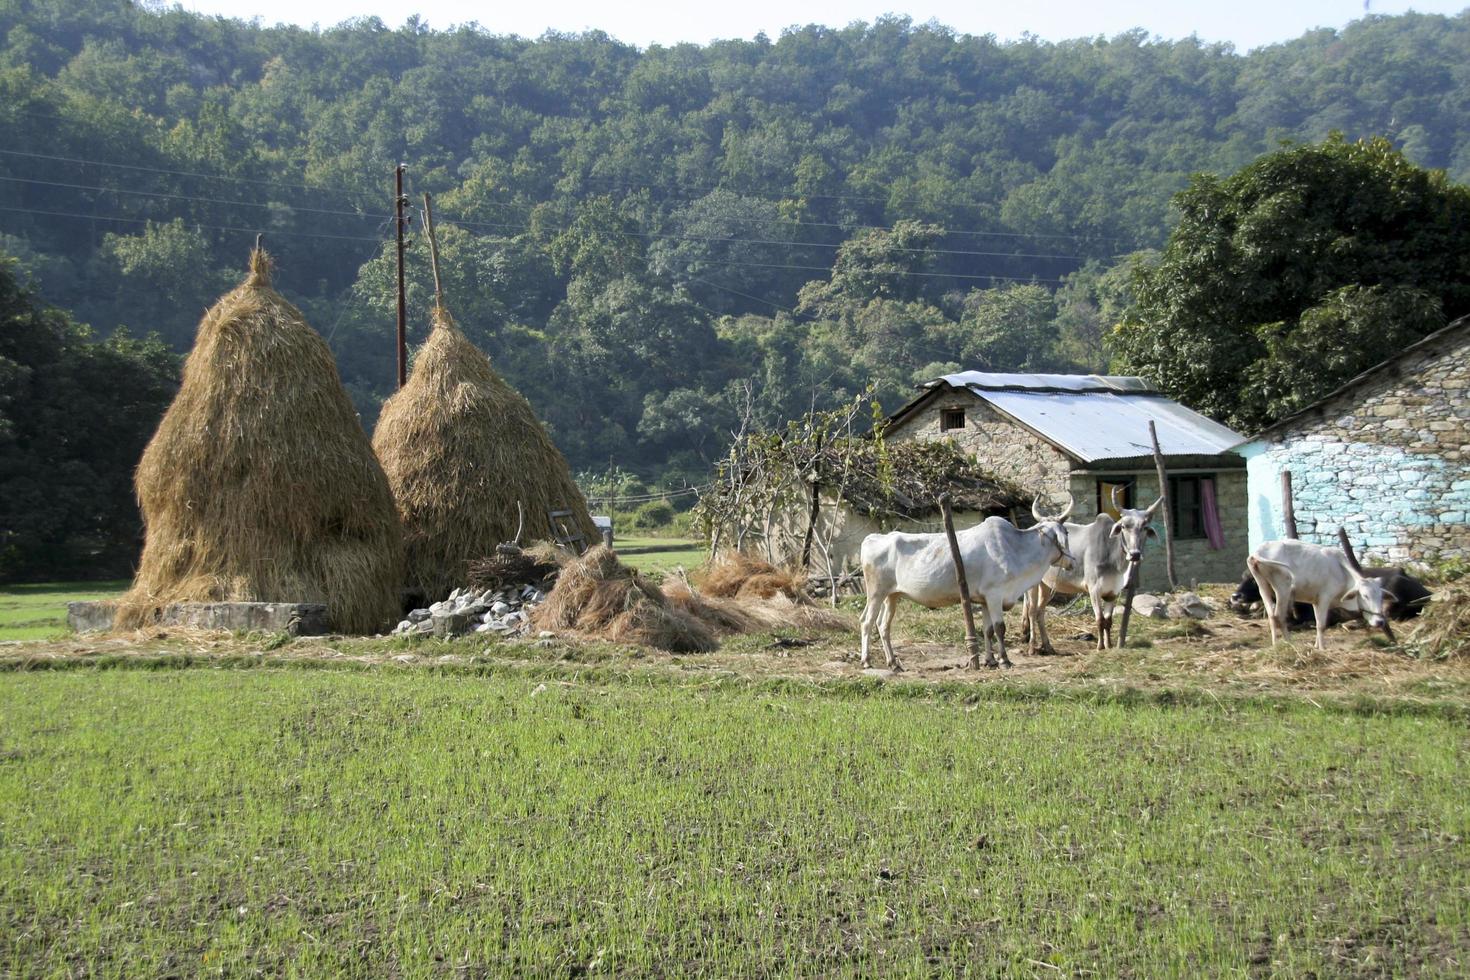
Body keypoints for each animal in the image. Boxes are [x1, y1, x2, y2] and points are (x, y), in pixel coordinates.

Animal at [858, 493, 1076, 669]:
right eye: (1065, 533)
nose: (1072, 562)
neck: (1015, 549)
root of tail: (872, 538)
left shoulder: (984, 599)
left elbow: (988, 630)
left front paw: (990, 661)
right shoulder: (995, 595)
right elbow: (1000, 628)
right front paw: (1004, 660)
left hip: (892, 596)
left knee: (883, 625)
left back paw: (893, 663)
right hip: (876, 593)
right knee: (867, 622)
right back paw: (867, 661)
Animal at [1023, 487, 1158, 655]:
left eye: (1144, 527)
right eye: (1124, 527)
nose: (1135, 554)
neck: (1112, 555)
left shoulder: (1113, 593)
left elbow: (1108, 621)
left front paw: (1109, 645)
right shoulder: (1094, 590)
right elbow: (1100, 620)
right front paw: (1100, 646)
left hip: (1046, 586)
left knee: (1040, 612)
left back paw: (1048, 646)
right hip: (1032, 585)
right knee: (1031, 612)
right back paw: (1031, 647)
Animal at [1246, 531, 1393, 646]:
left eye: (1381, 597)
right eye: (1365, 595)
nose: (1380, 622)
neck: (1342, 572)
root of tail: (1258, 552)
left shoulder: (1315, 601)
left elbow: (1318, 623)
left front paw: (1316, 646)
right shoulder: (1324, 598)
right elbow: (1322, 625)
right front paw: (1322, 648)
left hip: (1263, 587)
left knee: (1271, 617)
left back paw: (1275, 645)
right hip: (1283, 589)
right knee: (1279, 617)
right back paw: (1289, 644)